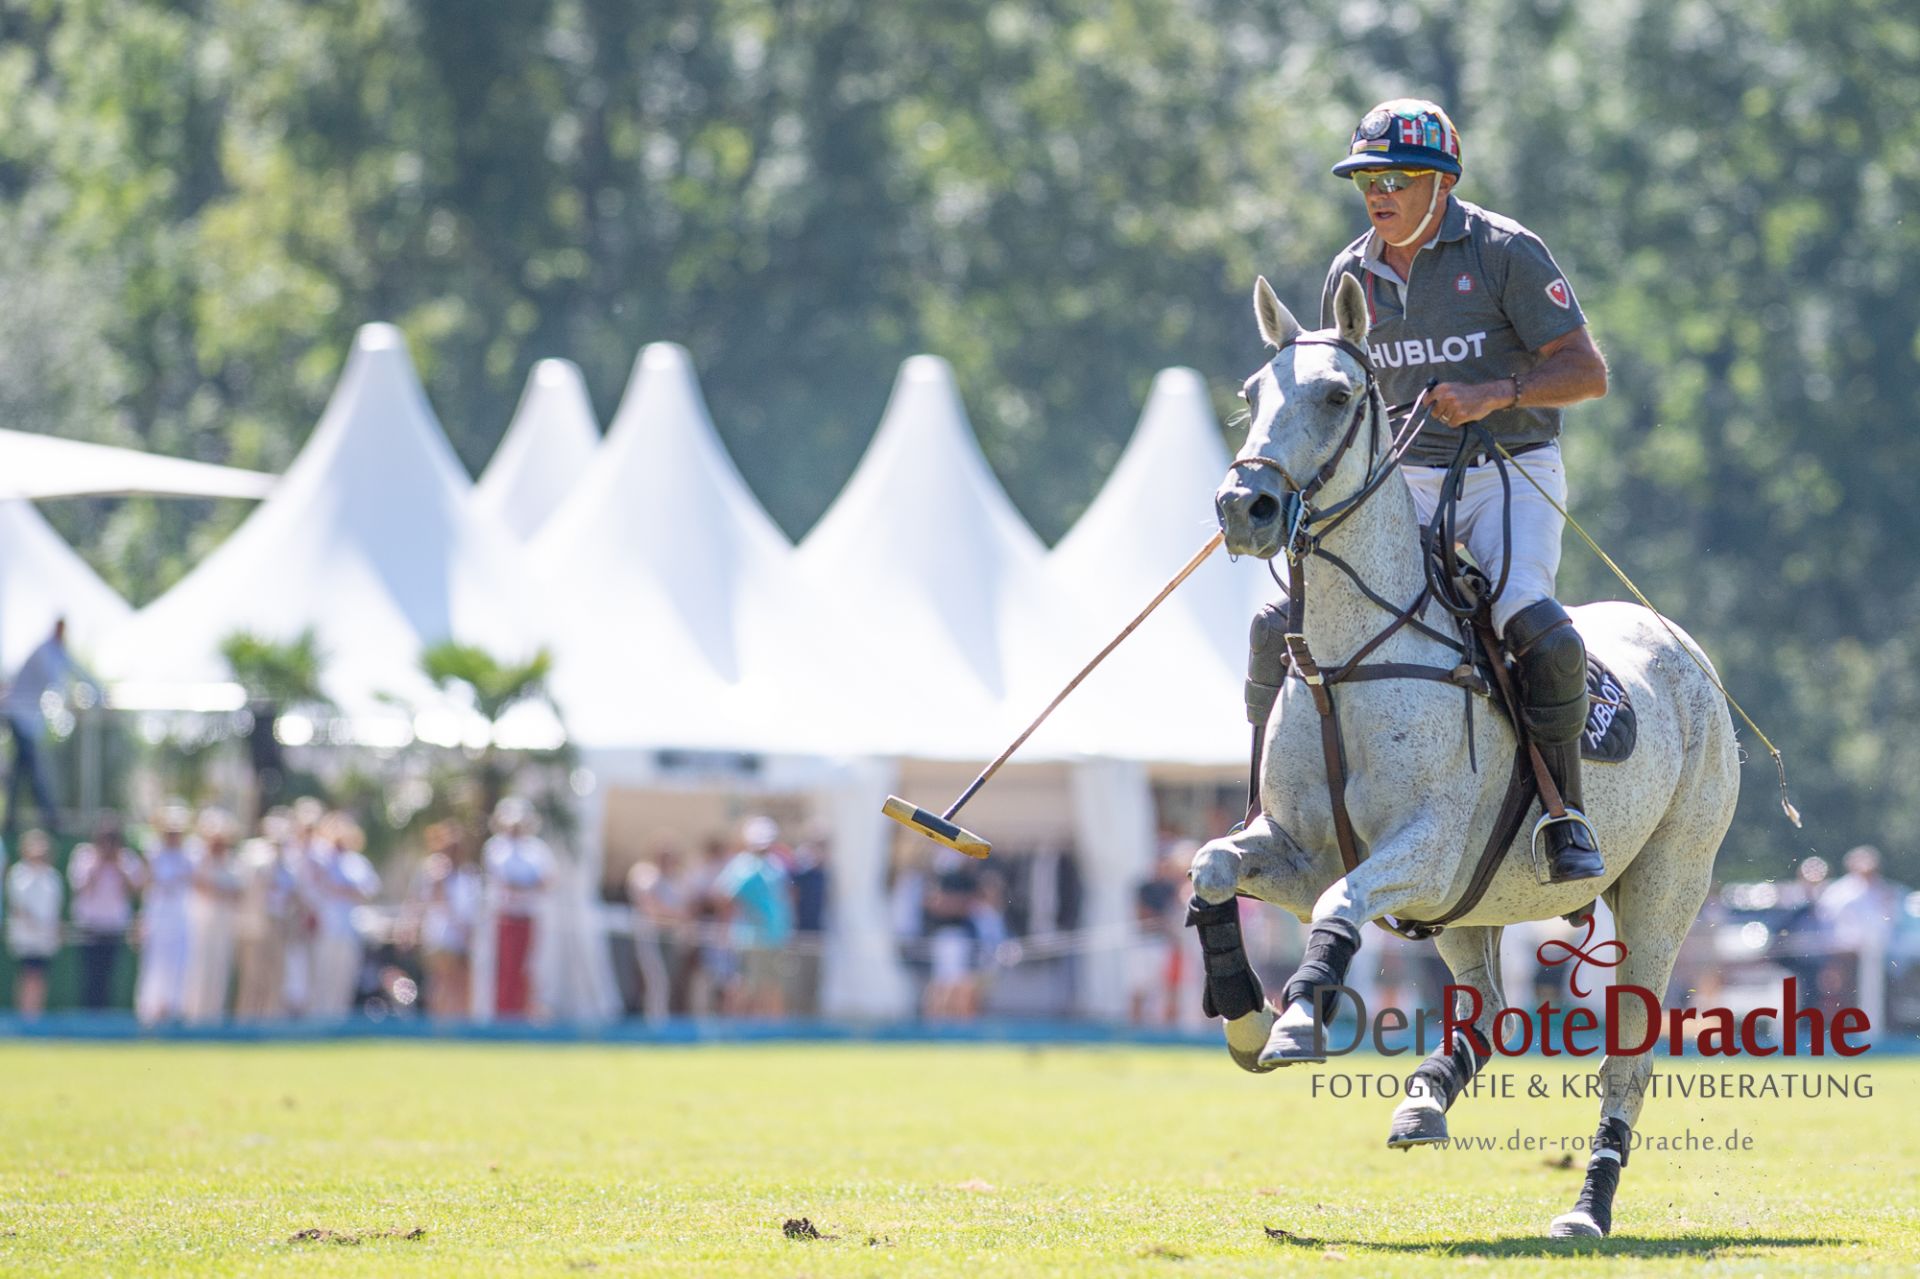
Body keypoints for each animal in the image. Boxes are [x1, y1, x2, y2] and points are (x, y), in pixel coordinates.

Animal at [1191, 274, 1739, 1238]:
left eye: (1337, 394)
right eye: (1253, 395)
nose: (1242, 508)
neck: (1347, 659)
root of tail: (1684, 646)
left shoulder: (1427, 847)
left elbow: (1339, 900)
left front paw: (1296, 1024)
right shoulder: (1303, 851)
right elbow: (1213, 864)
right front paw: (1247, 1020)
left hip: (1667, 883)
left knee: (1627, 1057)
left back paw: (1587, 1207)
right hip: (1467, 904)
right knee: (1487, 1011)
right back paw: (1424, 1100)